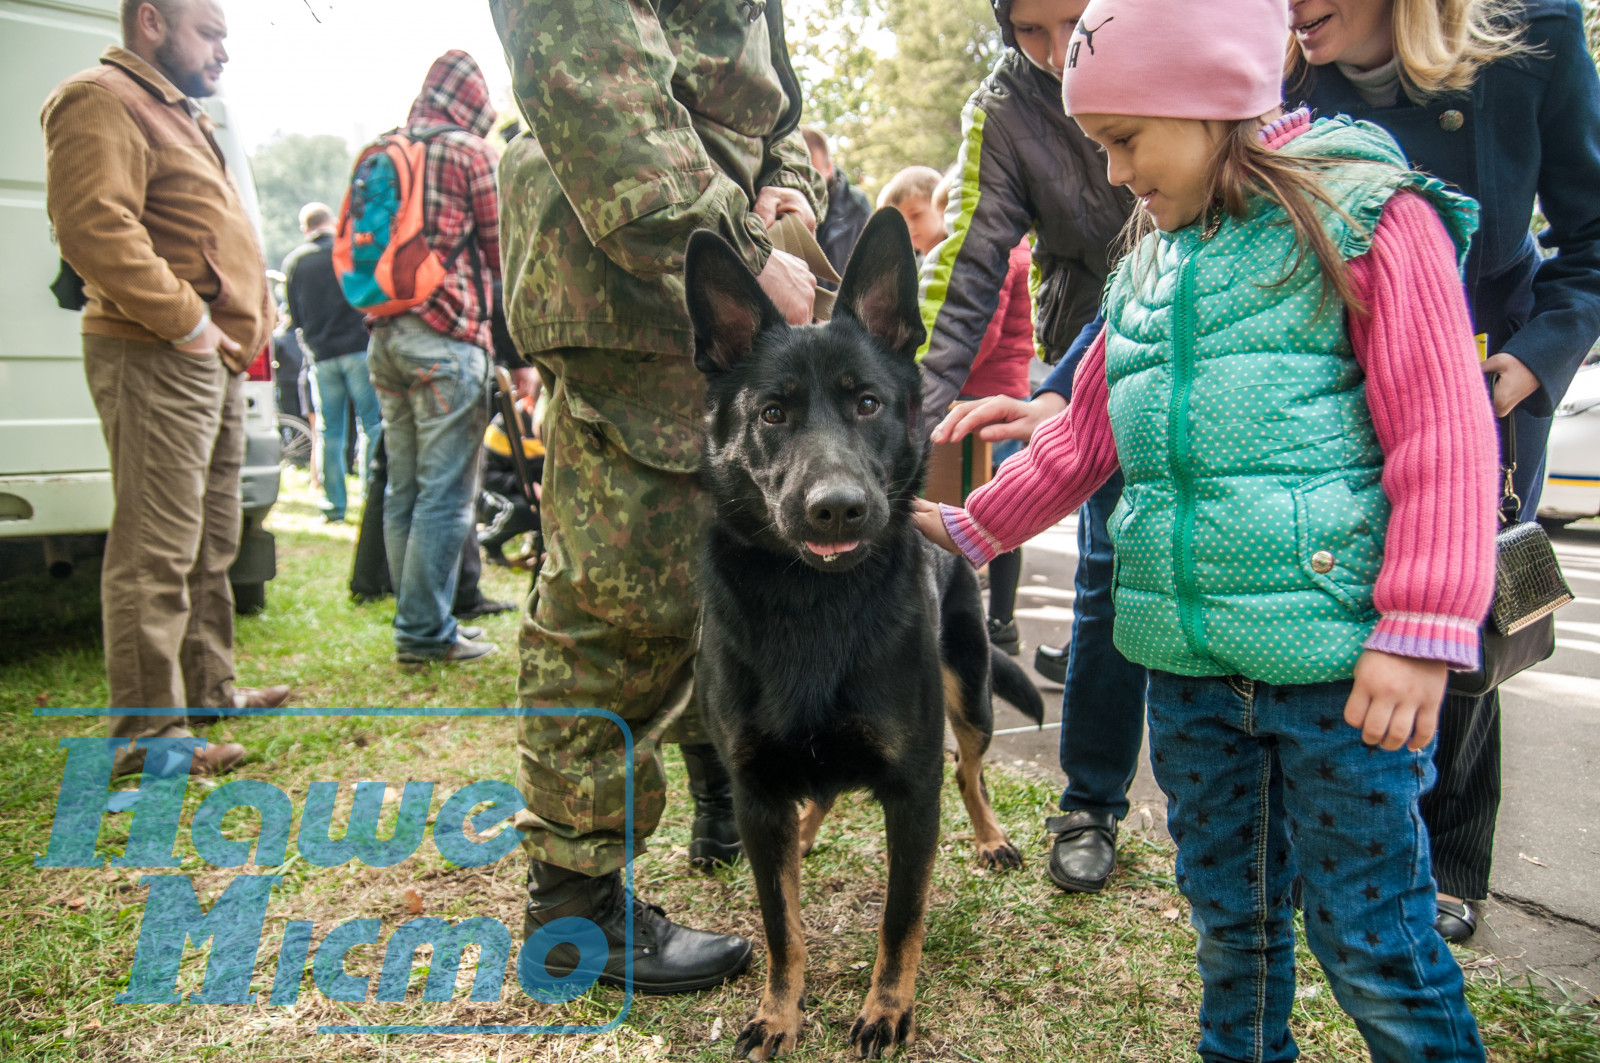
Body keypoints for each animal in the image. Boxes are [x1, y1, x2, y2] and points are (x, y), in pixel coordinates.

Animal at [688, 209, 1049, 1063]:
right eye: (773, 413)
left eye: (868, 404)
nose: (838, 508)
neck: (811, 601)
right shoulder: (754, 792)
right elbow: (781, 926)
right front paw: (780, 1012)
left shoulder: (912, 792)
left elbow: (900, 917)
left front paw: (887, 1009)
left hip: (971, 691)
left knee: (971, 770)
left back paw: (990, 837)